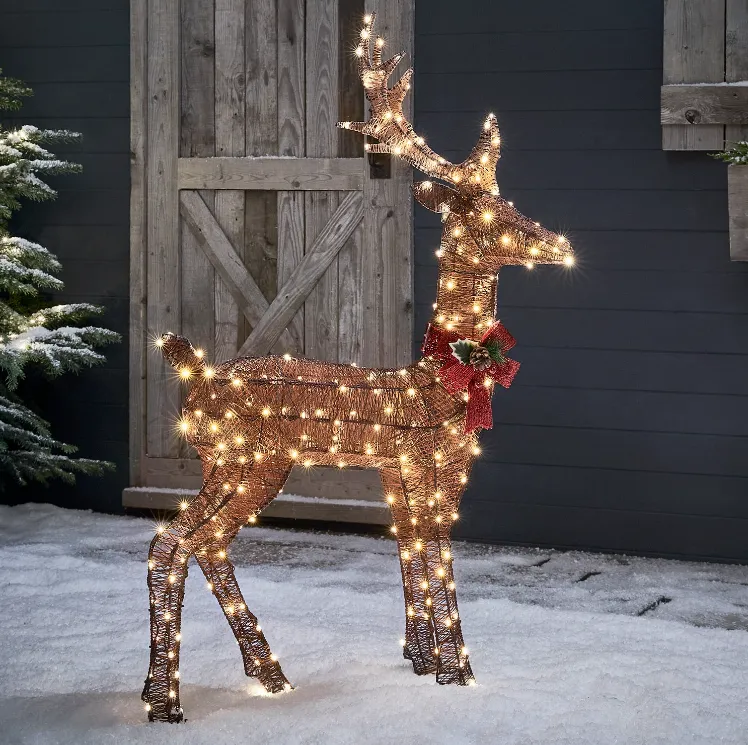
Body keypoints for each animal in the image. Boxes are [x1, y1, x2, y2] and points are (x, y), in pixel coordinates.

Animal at [142, 13, 574, 723]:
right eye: (486, 212)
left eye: (507, 199)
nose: (560, 243)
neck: (444, 379)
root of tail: (194, 375)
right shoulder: (428, 467)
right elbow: (438, 554)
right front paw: (459, 672)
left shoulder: (406, 474)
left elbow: (413, 555)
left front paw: (423, 662)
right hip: (239, 461)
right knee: (172, 542)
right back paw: (166, 703)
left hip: (251, 468)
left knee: (205, 543)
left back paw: (264, 675)